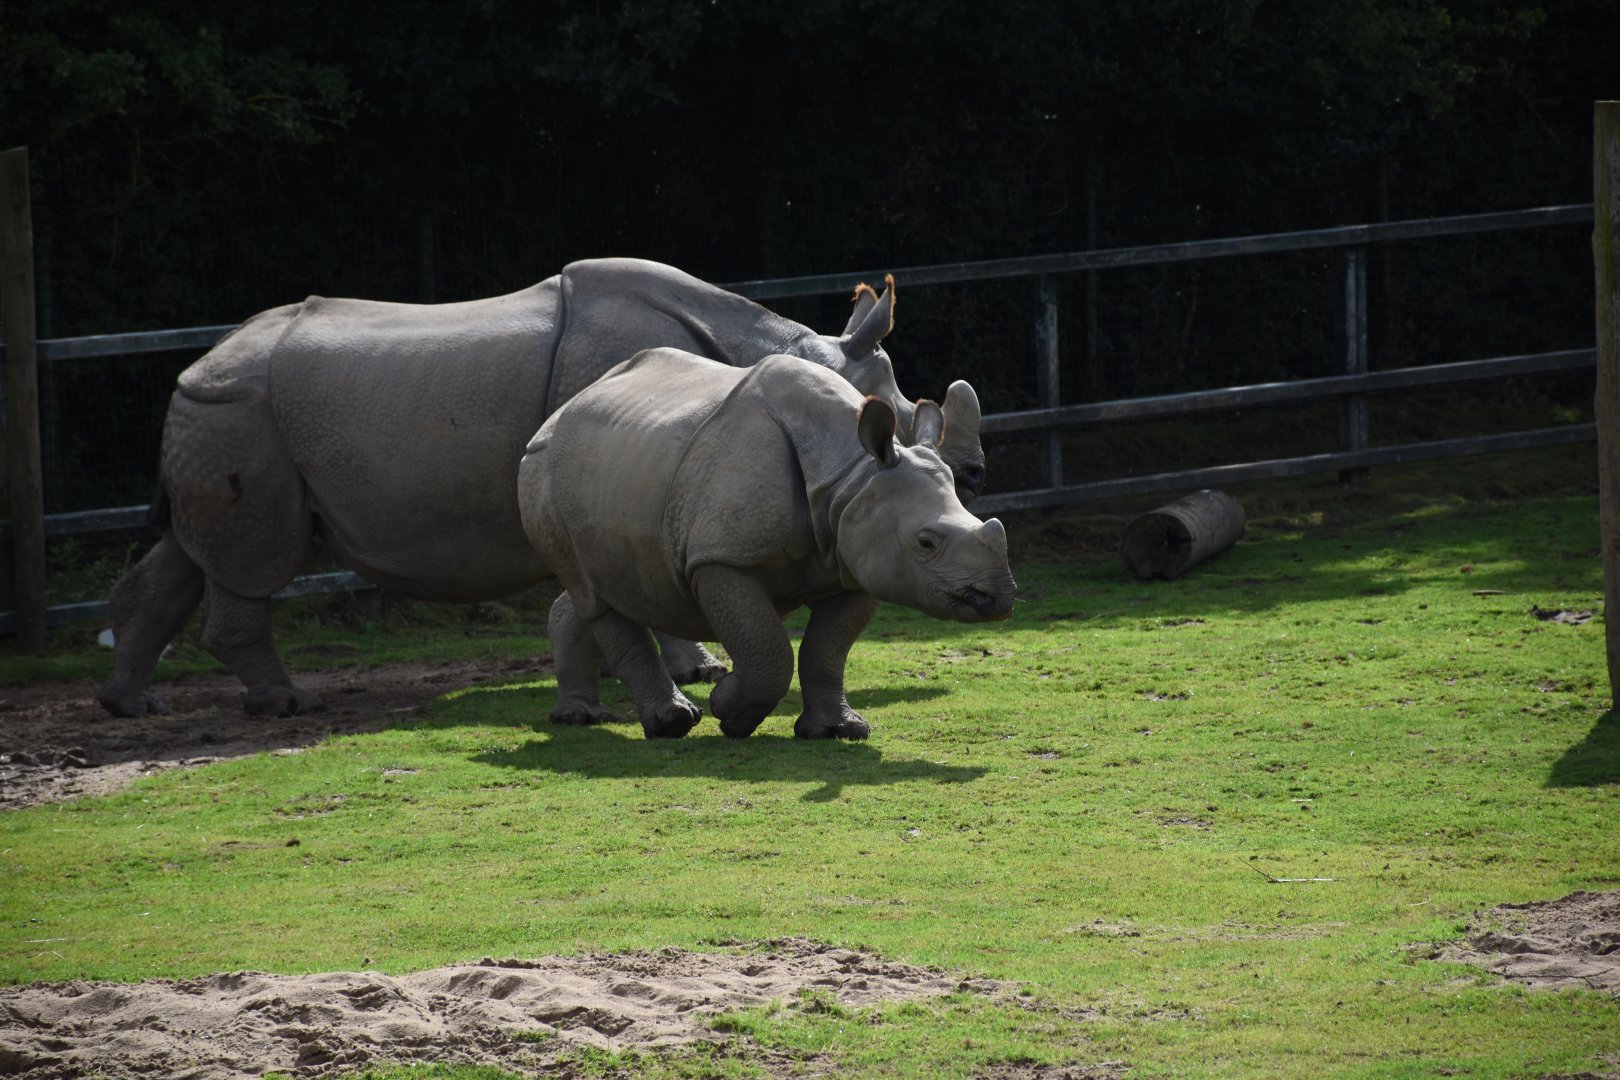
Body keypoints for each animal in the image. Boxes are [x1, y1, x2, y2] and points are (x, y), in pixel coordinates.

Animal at [97, 258, 988, 719]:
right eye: (901, 409)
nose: (976, 472)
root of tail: (192, 367)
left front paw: (687, 674)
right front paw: (695, 671)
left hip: (222, 414)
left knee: (189, 553)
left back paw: (132, 708)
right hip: (241, 413)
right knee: (254, 559)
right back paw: (286, 707)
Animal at [519, 348, 1017, 740]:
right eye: (926, 542)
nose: (1000, 598)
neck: (849, 477)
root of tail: (555, 416)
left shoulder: (857, 557)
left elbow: (827, 650)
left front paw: (836, 731)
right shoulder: (721, 558)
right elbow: (768, 650)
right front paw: (728, 710)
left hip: (618, 469)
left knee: (602, 589)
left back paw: (579, 717)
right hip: (541, 471)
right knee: (595, 594)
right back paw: (671, 723)